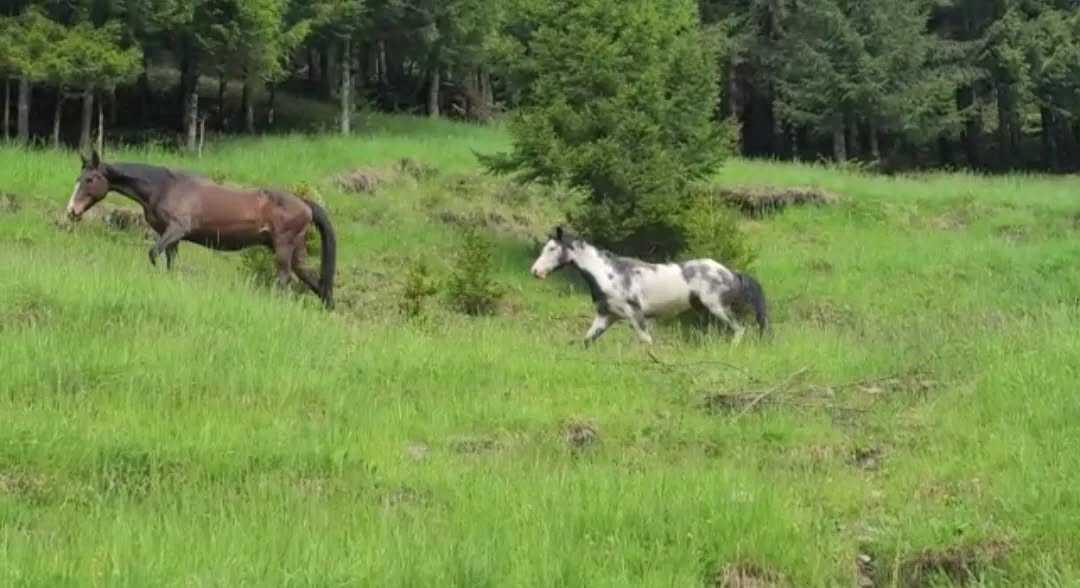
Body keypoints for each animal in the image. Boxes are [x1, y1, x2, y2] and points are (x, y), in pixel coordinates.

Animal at [66, 151, 337, 309]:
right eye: (79, 179)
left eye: (90, 179)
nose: (72, 210)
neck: (164, 187)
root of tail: (305, 203)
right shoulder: (172, 238)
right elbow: (169, 262)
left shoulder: (177, 229)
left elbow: (153, 254)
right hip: (296, 250)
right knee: (314, 280)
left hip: (283, 246)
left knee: (284, 278)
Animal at [530, 227, 769, 346]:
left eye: (552, 248)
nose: (535, 271)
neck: (609, 275)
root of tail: (732, 274)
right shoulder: (606, 316)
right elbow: (587, 340)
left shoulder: (635, 315)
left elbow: (646, 341)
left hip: (718, 308)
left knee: (739, 329)